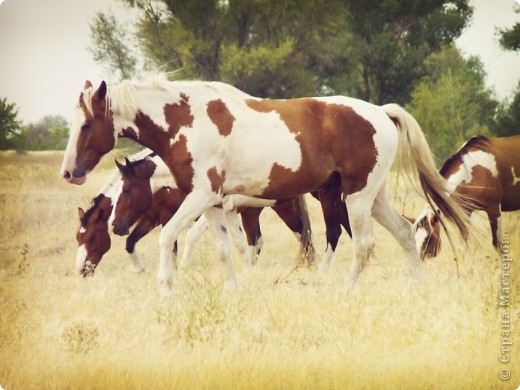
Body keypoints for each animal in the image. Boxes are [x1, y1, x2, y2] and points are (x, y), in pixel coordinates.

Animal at [60, 75, 468, 292]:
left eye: (86, 125)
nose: (68, 172)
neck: (186, 121)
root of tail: (381, 111)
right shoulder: (213, 205)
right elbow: (227, 249)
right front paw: (231, 288)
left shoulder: (198, 199)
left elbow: (169, 238)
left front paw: (166, 289)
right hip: (373, 196)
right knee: (403, 233)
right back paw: (418, 285)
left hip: (355, 197)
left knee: (362, 243)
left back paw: (346, 289)